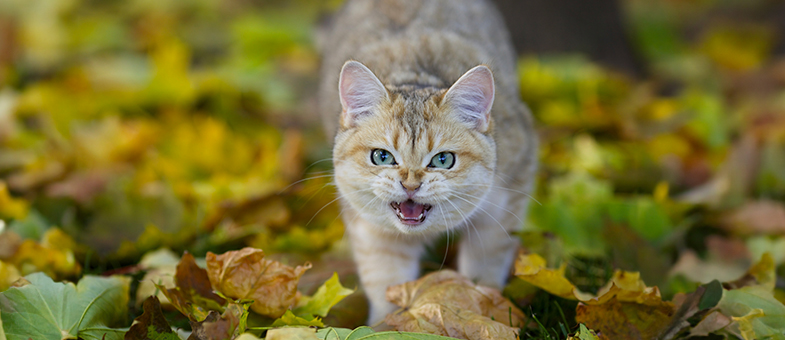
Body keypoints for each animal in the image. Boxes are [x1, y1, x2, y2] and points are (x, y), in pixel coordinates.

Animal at [316, 0, 536, 324]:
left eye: (443, 160)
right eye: (382, 156)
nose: (410, 185)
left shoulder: (508, 194)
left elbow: (487, 258)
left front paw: (484, 307)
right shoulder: (372, 231)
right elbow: (385, 279)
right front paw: (387, 324)